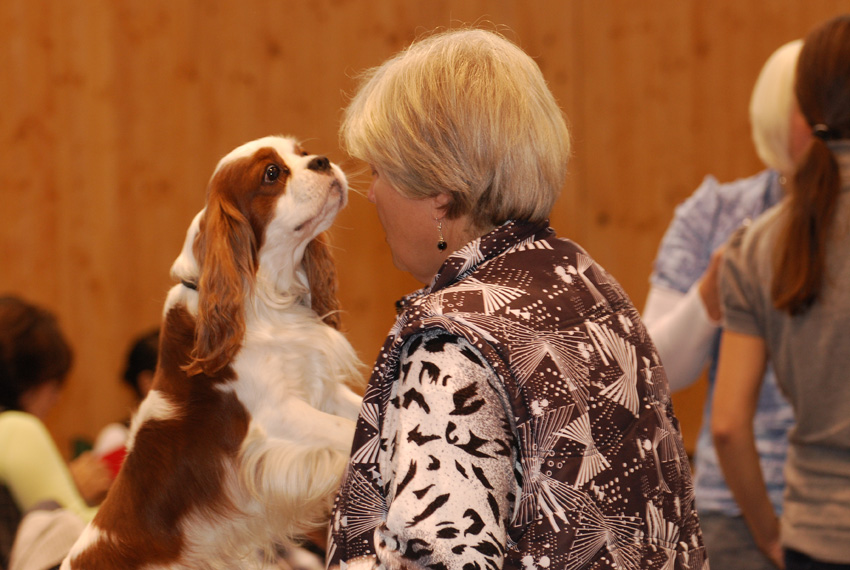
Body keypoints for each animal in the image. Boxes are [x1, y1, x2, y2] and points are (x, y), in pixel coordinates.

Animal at [62, 136, 364, 569]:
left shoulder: (322, 391)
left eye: (303, 153)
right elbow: (346, 431)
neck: (265, 298)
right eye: (271, 173)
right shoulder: (276, 417)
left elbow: (360, 413)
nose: (322, 161)